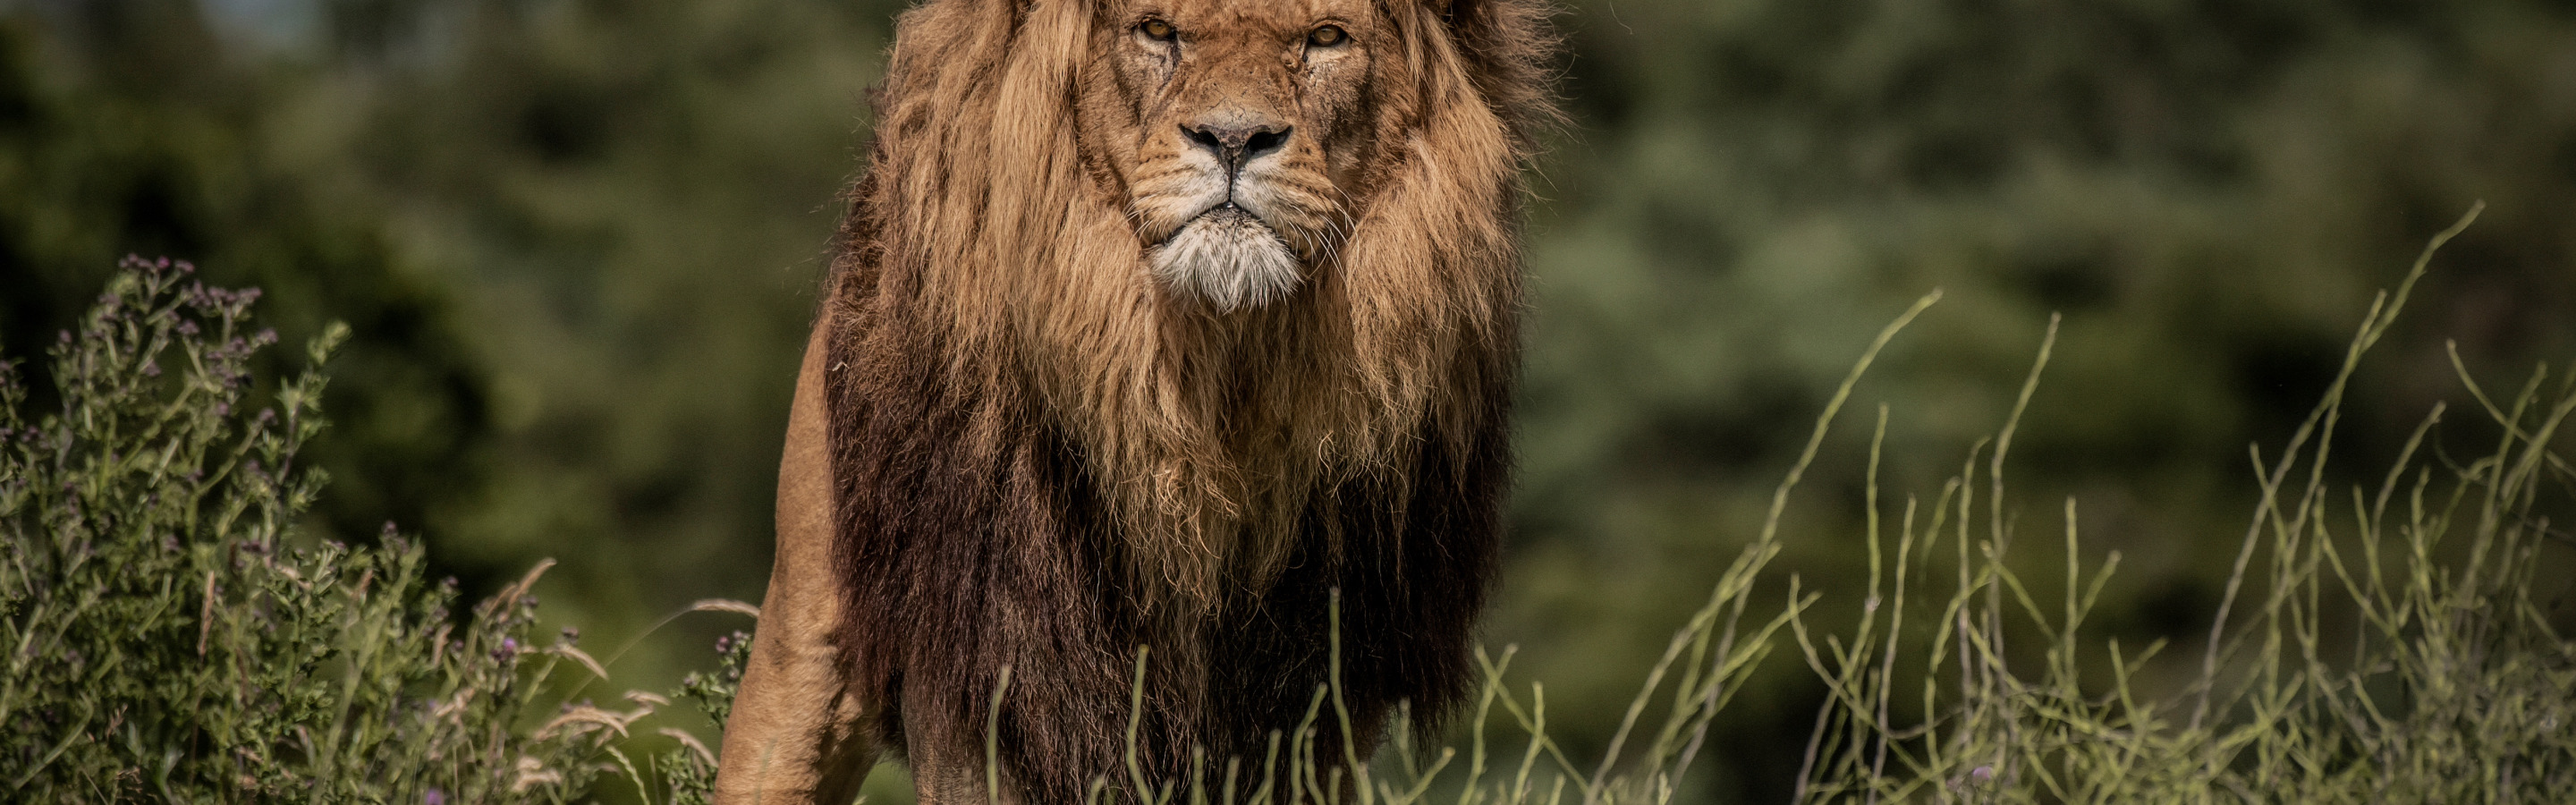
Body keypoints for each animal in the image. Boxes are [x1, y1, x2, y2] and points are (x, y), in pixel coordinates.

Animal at [710, 3, 1546, 800]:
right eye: (1156, 30)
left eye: (1327, 38)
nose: (1234, 139)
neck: (1209, 380)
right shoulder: (982, 664)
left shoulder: (1316, 698)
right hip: (803, 641)